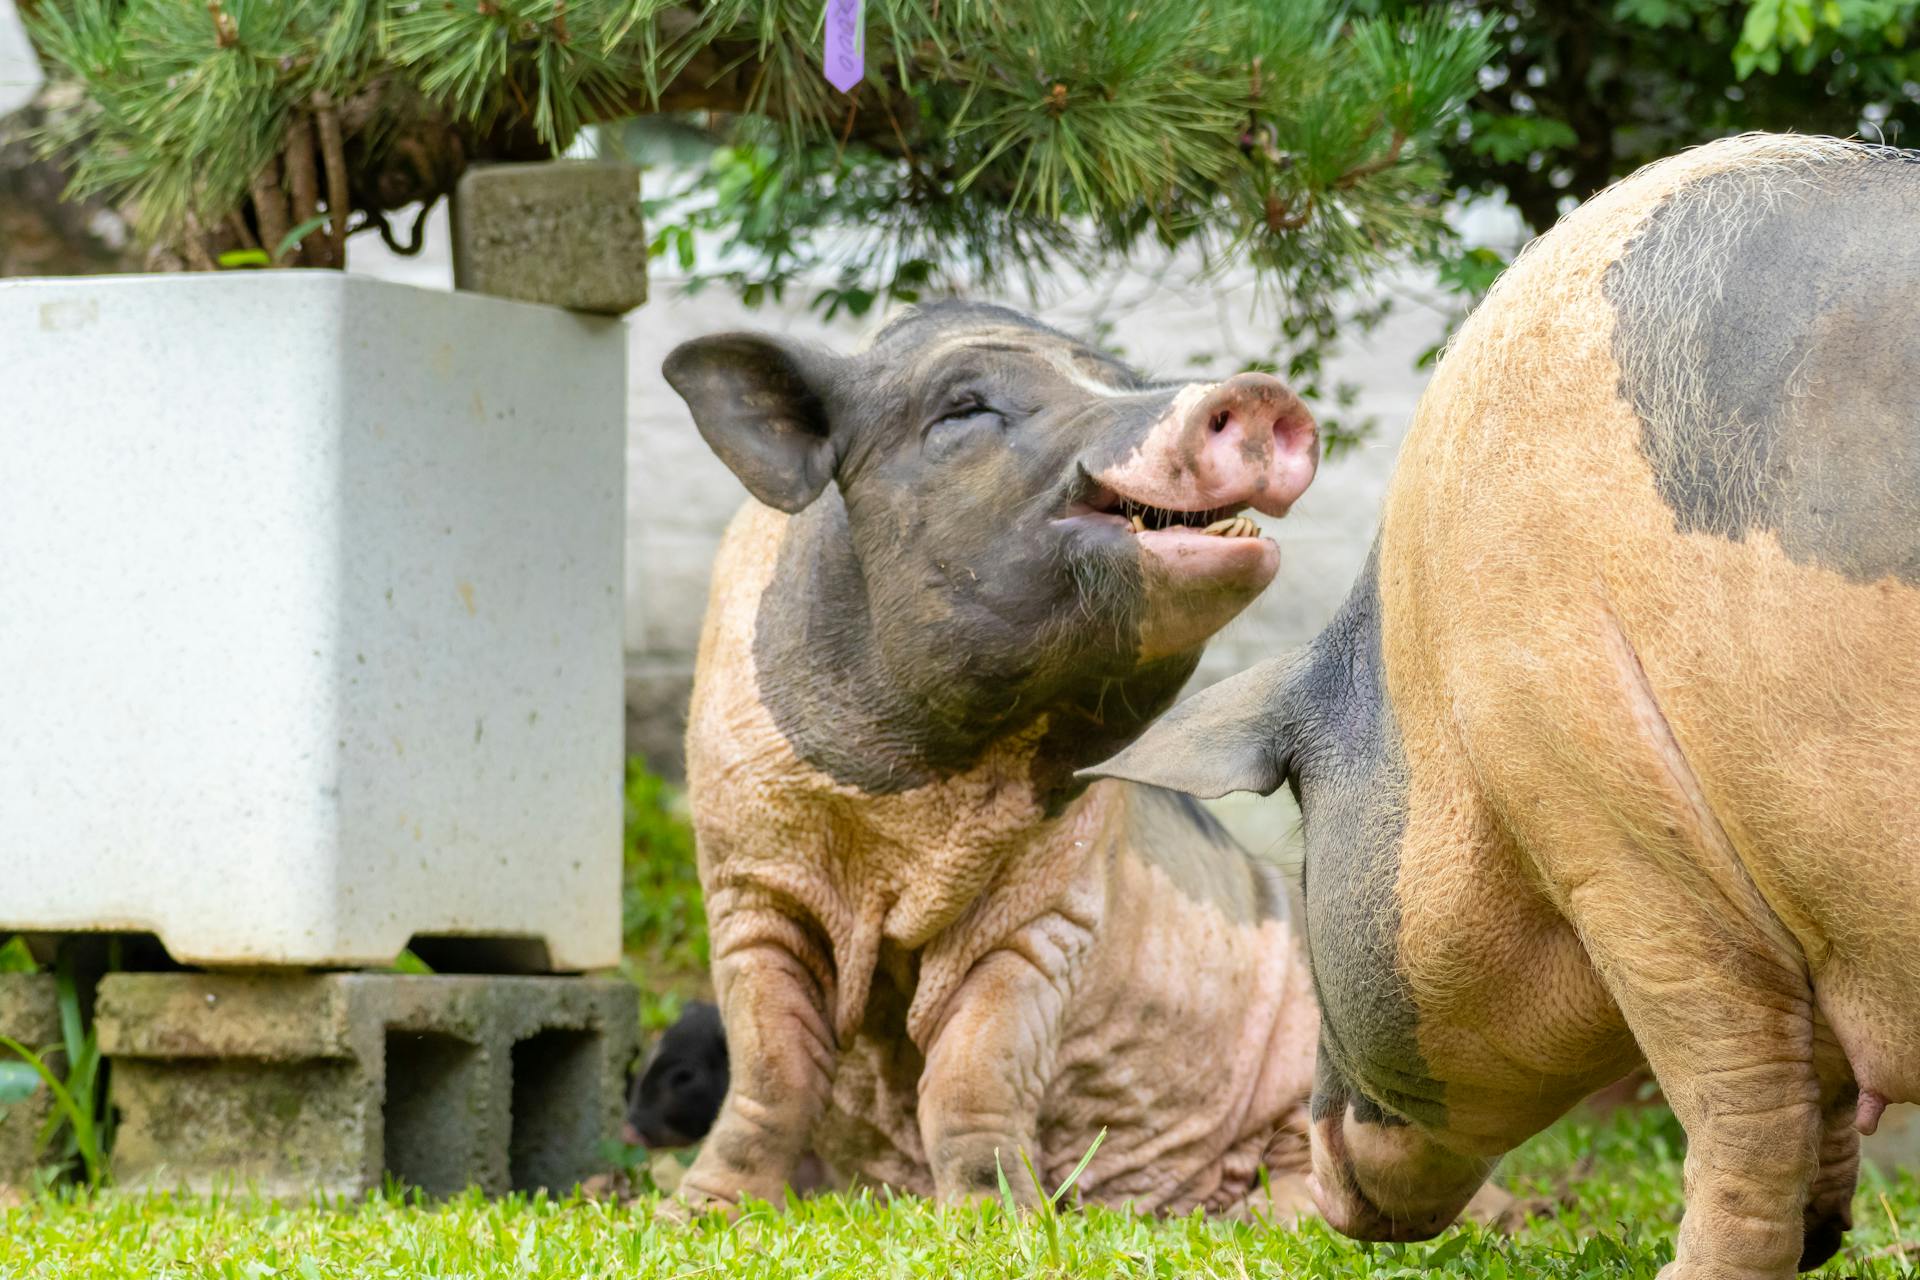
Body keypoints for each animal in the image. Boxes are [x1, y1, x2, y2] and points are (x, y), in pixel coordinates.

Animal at [652, 303, 1328, 1220]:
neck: (904, 814)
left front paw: (995, 1220)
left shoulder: (1049, 913)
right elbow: (771, 1068)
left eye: (1123, 379)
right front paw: (698, 1216)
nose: (1257, 392)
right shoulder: (748, 879)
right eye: (965, 408)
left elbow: (975, 1068)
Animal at [1090, 135, 1920, 1274]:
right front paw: (1820, 1239)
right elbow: (1823, 1095)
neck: (1432, 687)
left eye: (1301, 844)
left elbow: (1741, 1096)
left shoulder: (1610, 822)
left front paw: (1687, 1270)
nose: (1318, 1187)